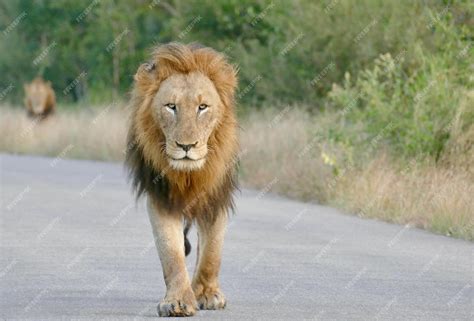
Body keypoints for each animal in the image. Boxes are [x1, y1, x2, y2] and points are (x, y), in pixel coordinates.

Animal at [126, 43, 239, 318]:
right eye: (171, 106)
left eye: (202, 107)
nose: (186, 146)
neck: (190, 176)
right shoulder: (161, 198)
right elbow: (171, 254)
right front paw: (177, 302)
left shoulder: (217, 197)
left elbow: (212, 251)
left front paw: (208, 294)